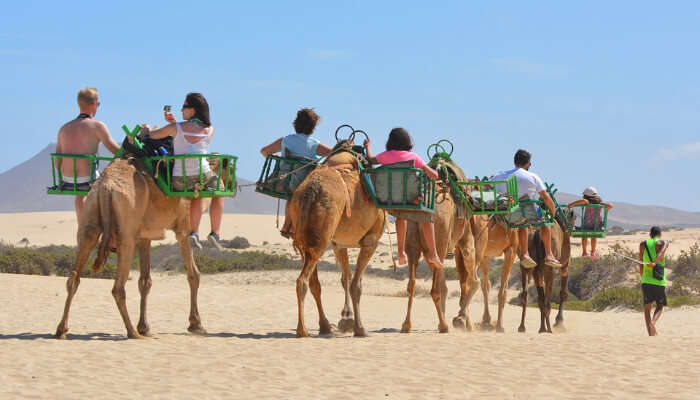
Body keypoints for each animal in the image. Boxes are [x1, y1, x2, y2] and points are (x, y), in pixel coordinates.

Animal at [54, 158, 205, 340]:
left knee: (73, 278)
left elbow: (145, 281)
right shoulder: (182, 225)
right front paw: (196, 324)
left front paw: (145, 327)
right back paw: (132, 332)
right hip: (127, 232)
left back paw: (61, 330)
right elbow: (193, 274)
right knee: (118, 287)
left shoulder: (145, 236)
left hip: (89, 217)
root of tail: (106, 187)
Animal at [292, 145, 388, 336]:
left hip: (308, 239)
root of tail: (309, 192)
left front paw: (347, 319)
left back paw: (324, 326)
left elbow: (345, 279)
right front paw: (359, 328)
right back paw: (303, 330)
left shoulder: (339, 244)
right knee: (303, 281)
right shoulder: (371, 240)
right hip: (321, 239)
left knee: (313, 282)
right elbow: (355, 285)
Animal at [400, 158, 486, 332]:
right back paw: (445, 325)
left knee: (412, 284)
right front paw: (461, 320)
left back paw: (406, 325)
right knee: (438, 289)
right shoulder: (466, 239)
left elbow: (445, 285)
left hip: (414, 242)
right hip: (440, 240)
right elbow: (472, 282)